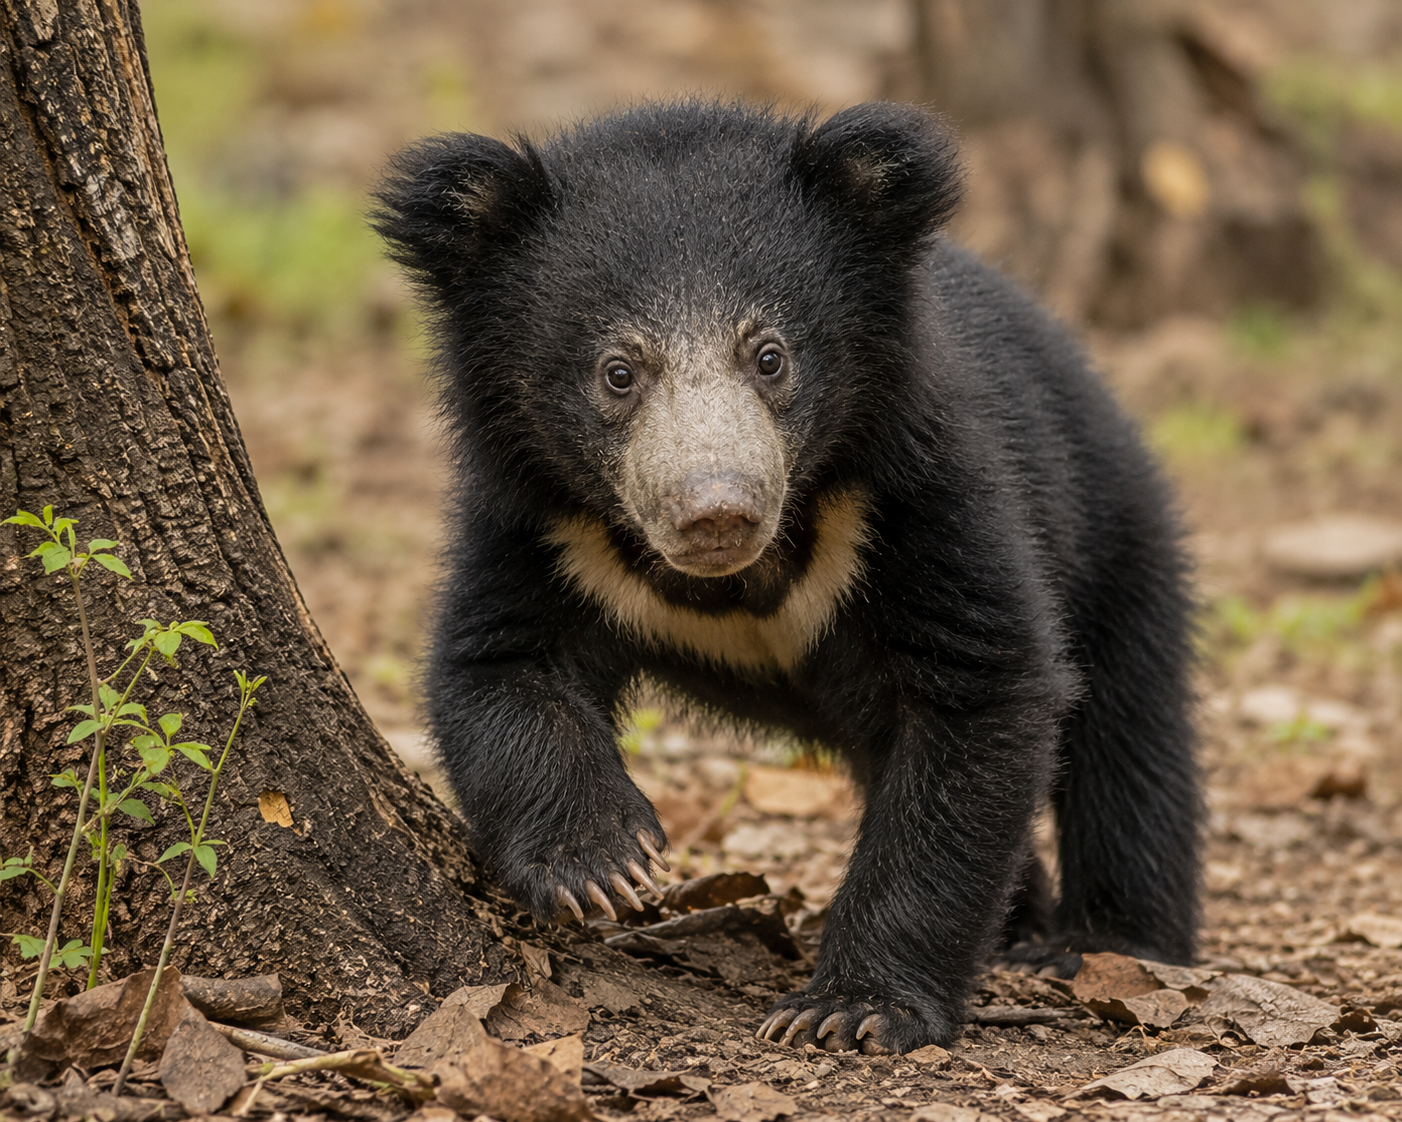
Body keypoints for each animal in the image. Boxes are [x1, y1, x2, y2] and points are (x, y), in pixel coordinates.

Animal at [374, 99, 1201, 1055]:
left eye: (769, 356)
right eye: (617, 372)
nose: (716, 512)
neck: (744, 575)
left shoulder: (916, 492)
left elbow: (983, 696)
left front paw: (851, 1008)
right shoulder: (546, 526)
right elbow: (498, 662)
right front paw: (604, 864)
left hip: (1116, 530)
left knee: (1130, 740)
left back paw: (1103, 944)